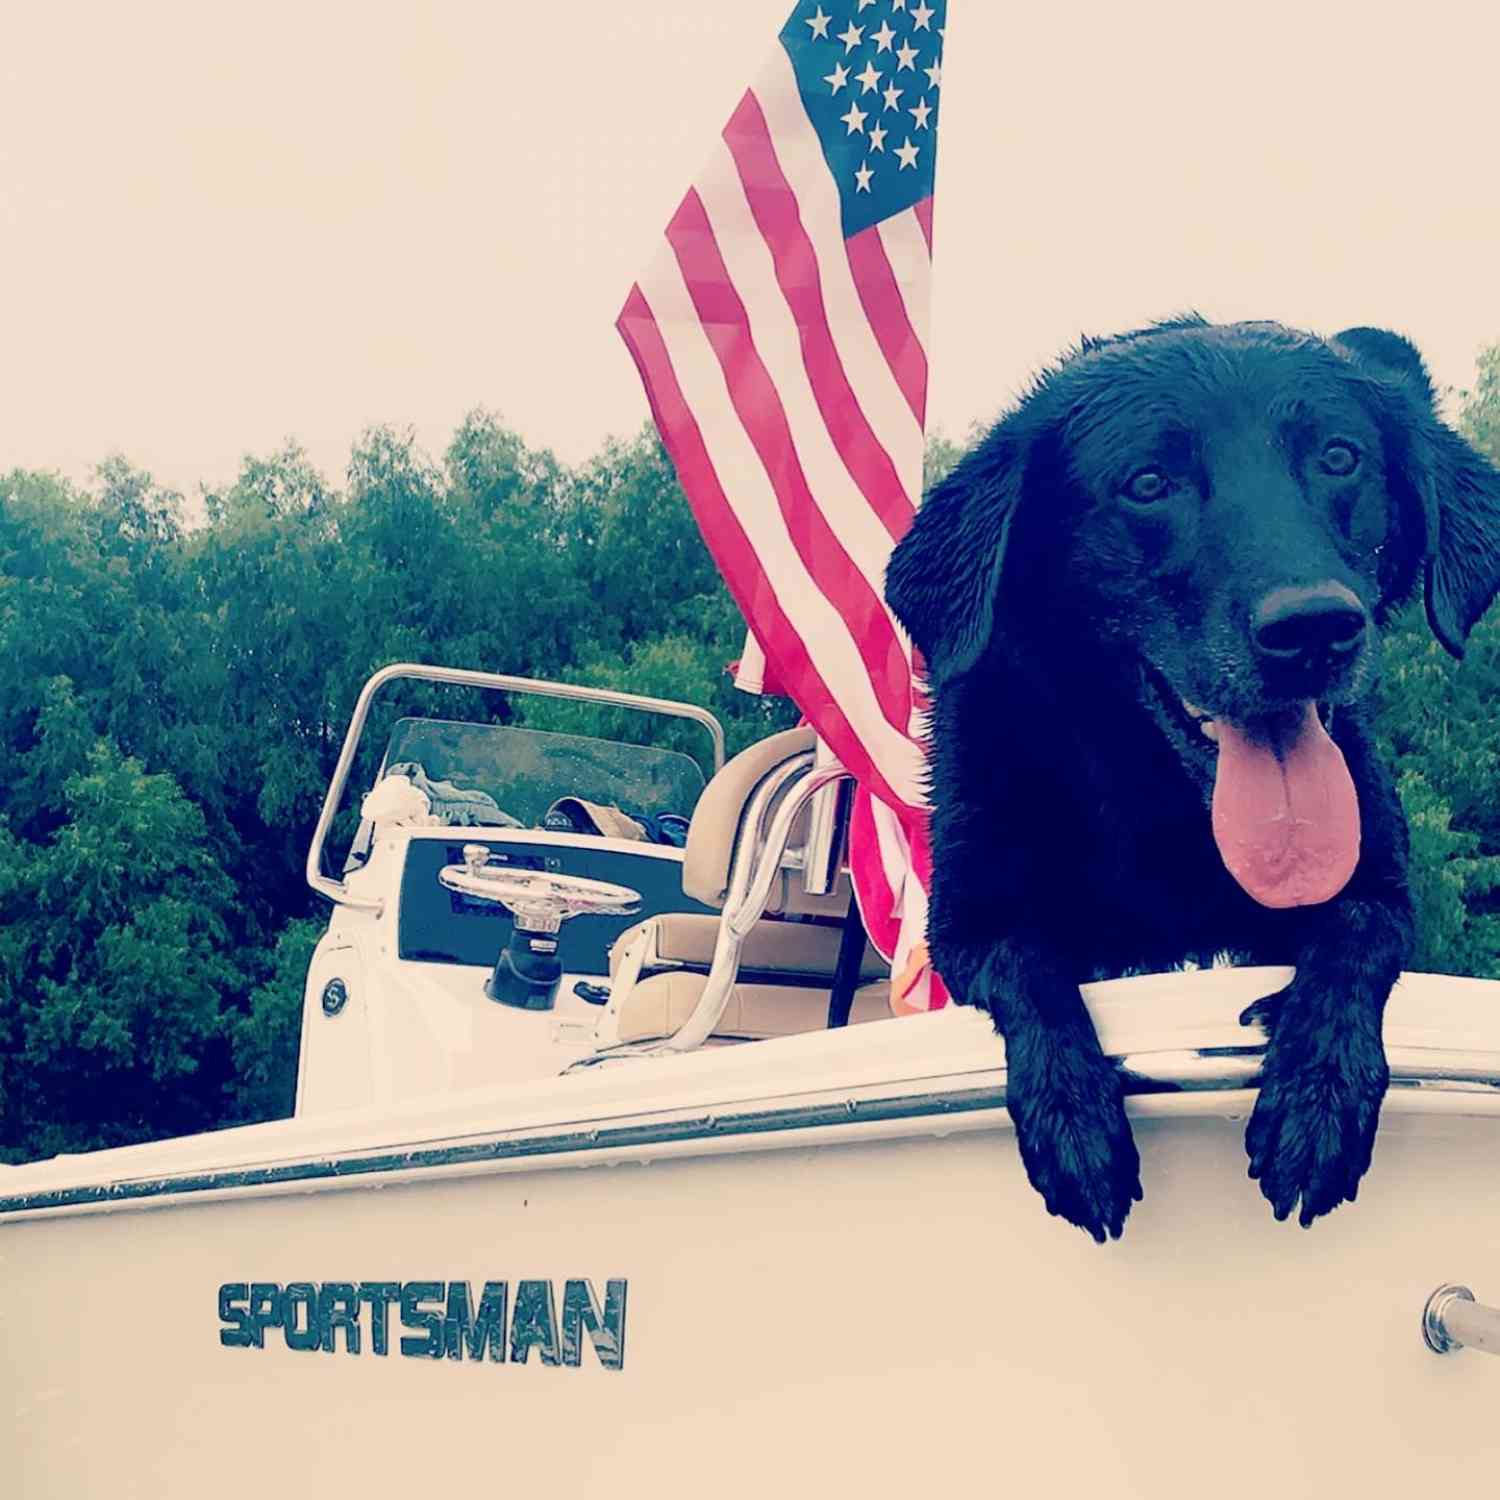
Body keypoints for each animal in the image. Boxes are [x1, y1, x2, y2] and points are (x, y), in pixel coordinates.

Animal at [882, 316, 1500, 1242]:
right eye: (1148, 482)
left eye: (1339, 457)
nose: (1313, 628)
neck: (1162, 808)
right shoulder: (968, 916)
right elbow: (1026, 964)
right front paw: (1076, 1126)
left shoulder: (1379, 880)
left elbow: (1358, 929)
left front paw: (1316, 1099)